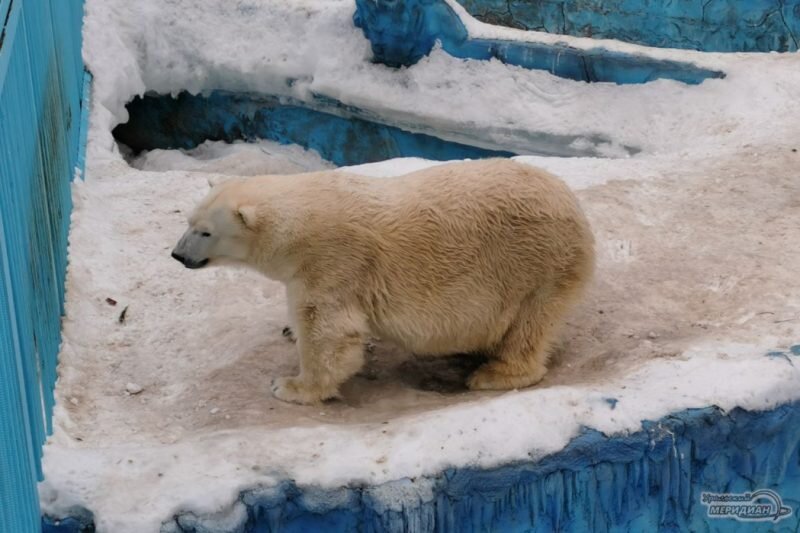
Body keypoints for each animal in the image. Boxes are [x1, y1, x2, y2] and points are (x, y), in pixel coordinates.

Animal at [170, 158, 592, 404]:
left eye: (206, 232)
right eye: (189, 222)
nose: (177, 254)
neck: (297, 225)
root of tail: (575, 207)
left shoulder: (331, 262)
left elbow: (331, 333)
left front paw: (290, 386)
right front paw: (289, 332)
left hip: (534, 265)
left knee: (528, 326)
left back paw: (492, 374)